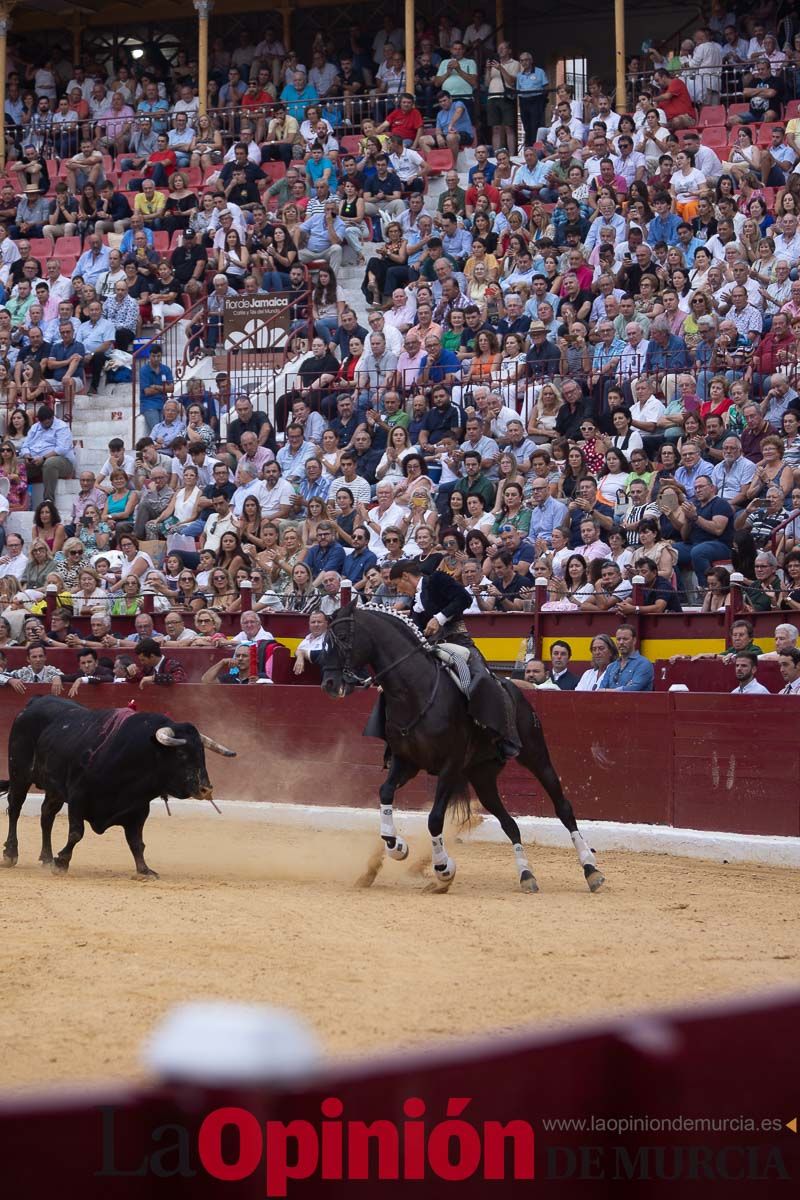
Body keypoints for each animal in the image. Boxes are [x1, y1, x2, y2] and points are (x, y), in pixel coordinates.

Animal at [0, 700, 236, 878]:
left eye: (202, 753)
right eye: (181, 754)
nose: (206, 789)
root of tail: (33, 703)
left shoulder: (138, 808)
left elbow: (137, 841)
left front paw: (144, 870)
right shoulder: (77, 798)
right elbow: (77, 832)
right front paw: (62, 862)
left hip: (54, 789)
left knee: (46, 815)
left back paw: (46, 858)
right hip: (20, 773)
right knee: (15, 808)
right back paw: (11, 853)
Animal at [316, 604, 599, 897]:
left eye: (343, 638)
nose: (329, 683)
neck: (413, 690)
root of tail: (514, 688)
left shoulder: (449, 766)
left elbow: (434, 818)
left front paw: (443, 869)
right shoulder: (406, 762)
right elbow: (385, 792)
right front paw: (397, 847)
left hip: (536, 756)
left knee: (562, 807)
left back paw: (591, 868)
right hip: (482, 776)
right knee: (509, 823)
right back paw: (526, 875)